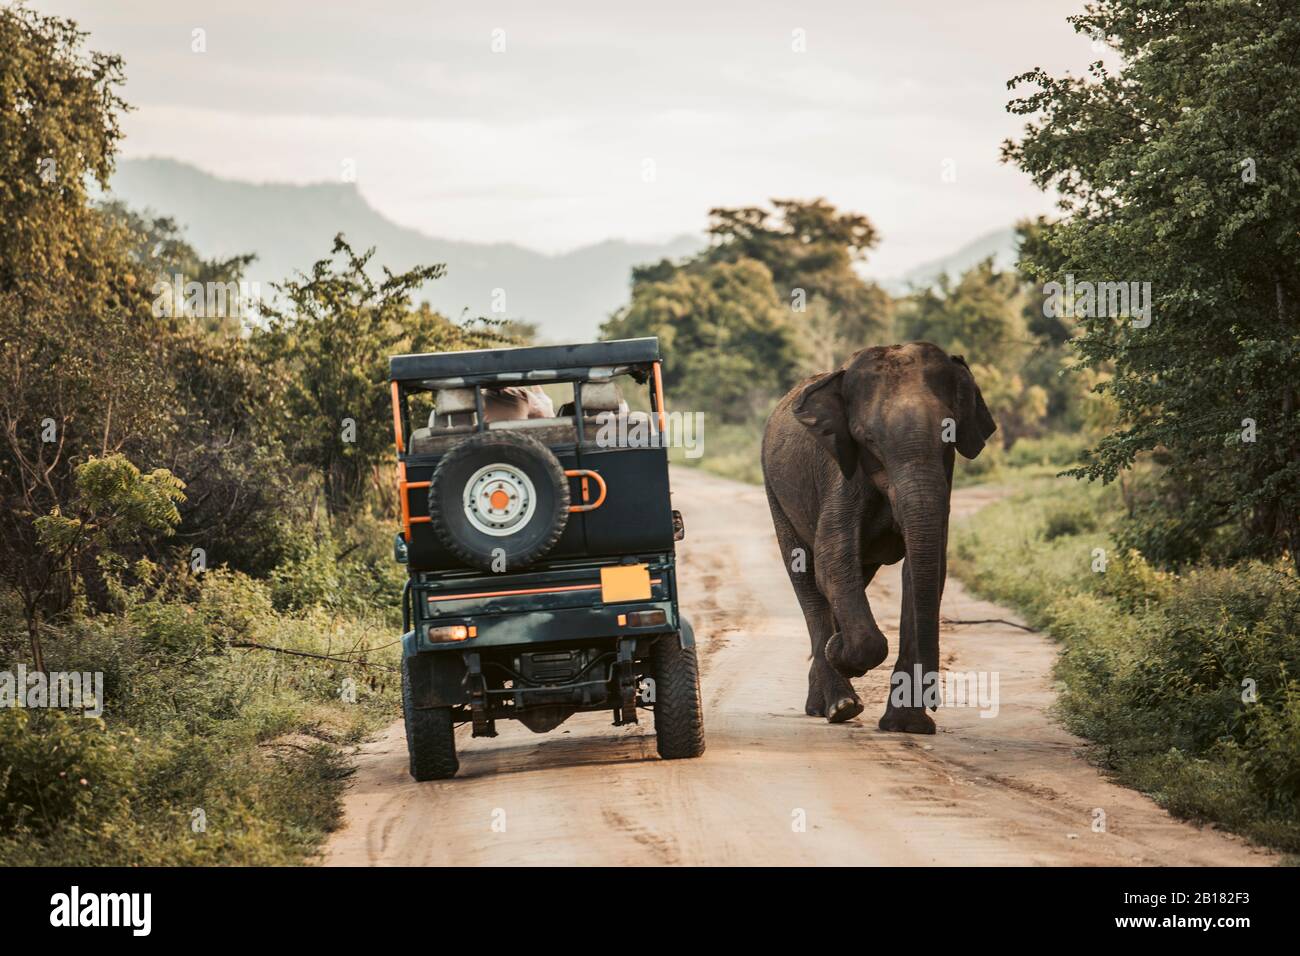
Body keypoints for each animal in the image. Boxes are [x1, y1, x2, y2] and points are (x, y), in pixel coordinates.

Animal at [759, 343, 998, 733]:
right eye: (868, 439)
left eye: (948, 434)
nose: (935, 703)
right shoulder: (840, 472)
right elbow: (831, 559)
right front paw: (840, 651)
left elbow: (924, 569)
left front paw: (907, 727)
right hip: (775, 493)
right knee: (806, 577)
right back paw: (840, 705)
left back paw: (825, 700)